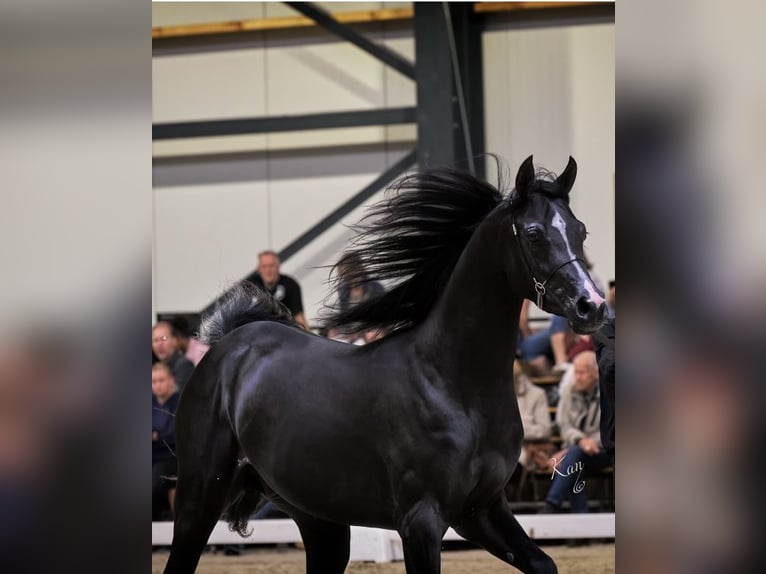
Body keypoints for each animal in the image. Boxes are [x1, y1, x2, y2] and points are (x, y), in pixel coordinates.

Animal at [165, 158, 608, 574]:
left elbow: (543, 564)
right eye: (533, 233)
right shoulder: (421, 521)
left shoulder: (481, 510)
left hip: (319, 520)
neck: (452, 386)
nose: (592, 306)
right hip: (199, 499)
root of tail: (230, 343)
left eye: (581, 230)